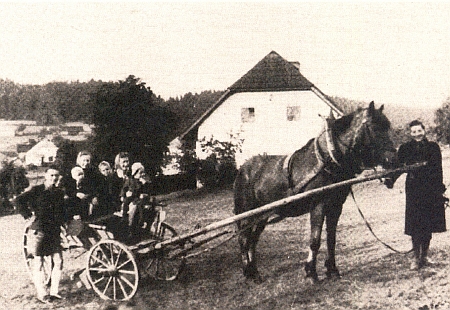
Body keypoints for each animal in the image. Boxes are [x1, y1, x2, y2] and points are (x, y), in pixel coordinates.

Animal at [234, 101, 396, 284]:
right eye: (374, 127)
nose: (393, 160)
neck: (328, 160)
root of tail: (243, 169)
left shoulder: (336, 206)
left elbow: (331, 239)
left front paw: (332, 270)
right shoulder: (318, 205)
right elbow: (315, 240)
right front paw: (311, 273)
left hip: (261, 216)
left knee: (253, 241)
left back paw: (255, 273)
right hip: (247, 214)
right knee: (244, 239)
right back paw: (248, 273)